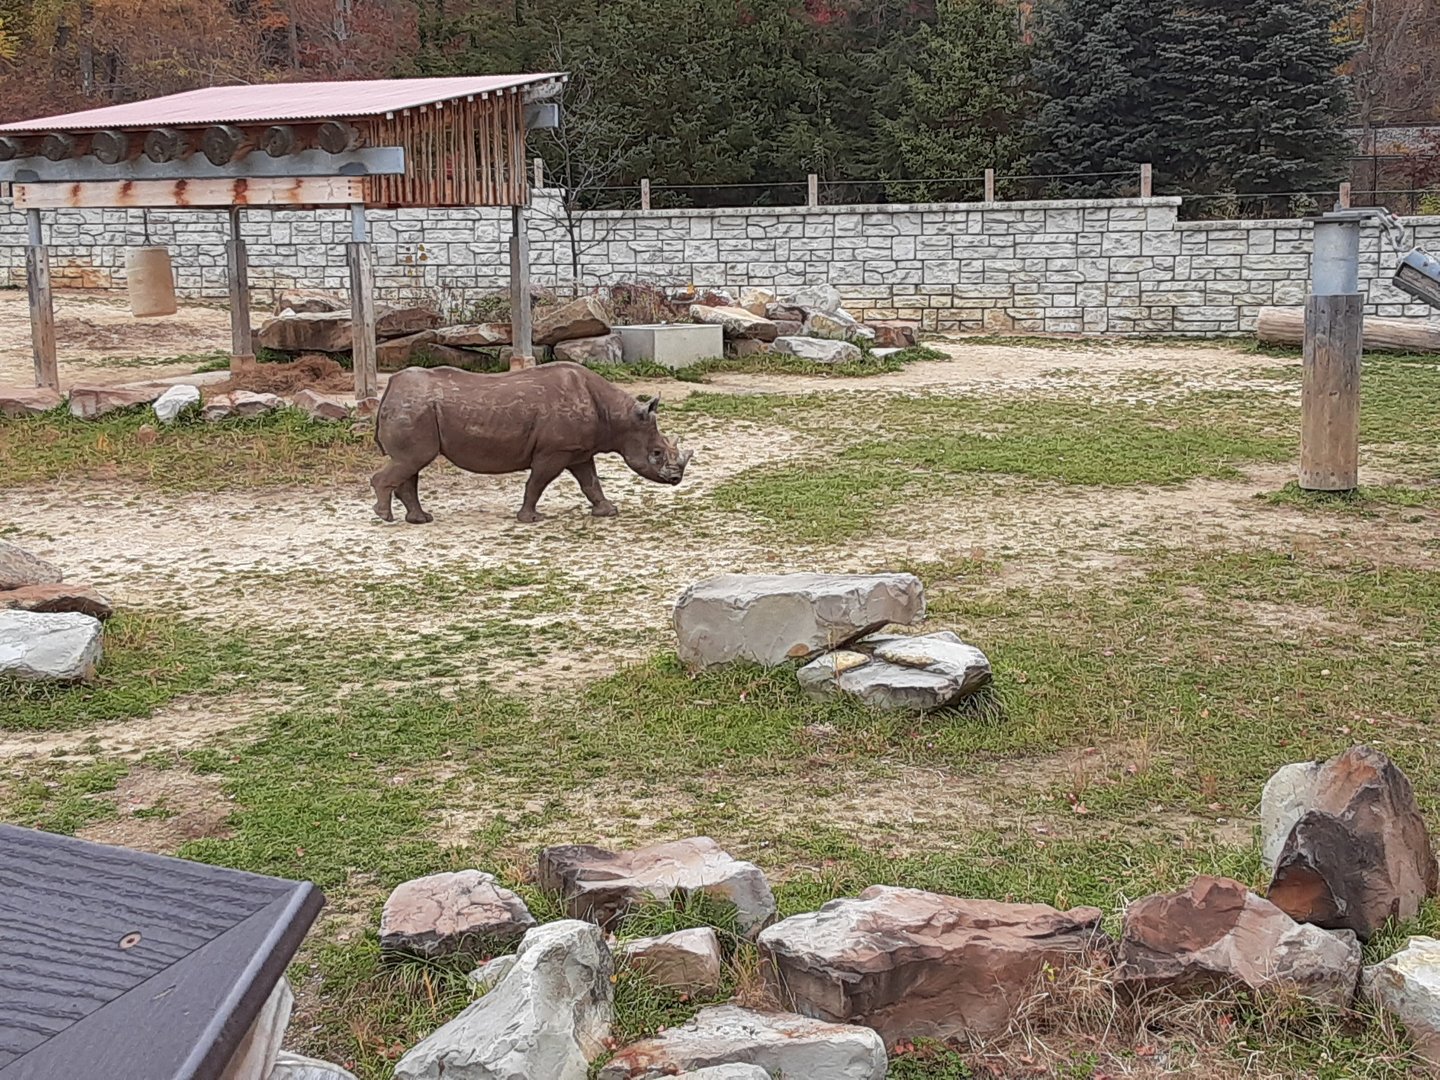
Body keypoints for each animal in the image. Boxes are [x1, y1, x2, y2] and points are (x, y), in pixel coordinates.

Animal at [370, 362, 693, 524]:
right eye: (656, 453)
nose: (676, 480)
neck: (620, 418)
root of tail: (389, 388)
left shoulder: (578, 451)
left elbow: (590, 482)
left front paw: (608, 512)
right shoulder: (555, 451)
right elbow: (537, 482)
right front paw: (530, 518)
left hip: (417, 408)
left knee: (411, 464)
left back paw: (420, 519)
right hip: (415, 408)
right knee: (413, 460)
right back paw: (386, 517)